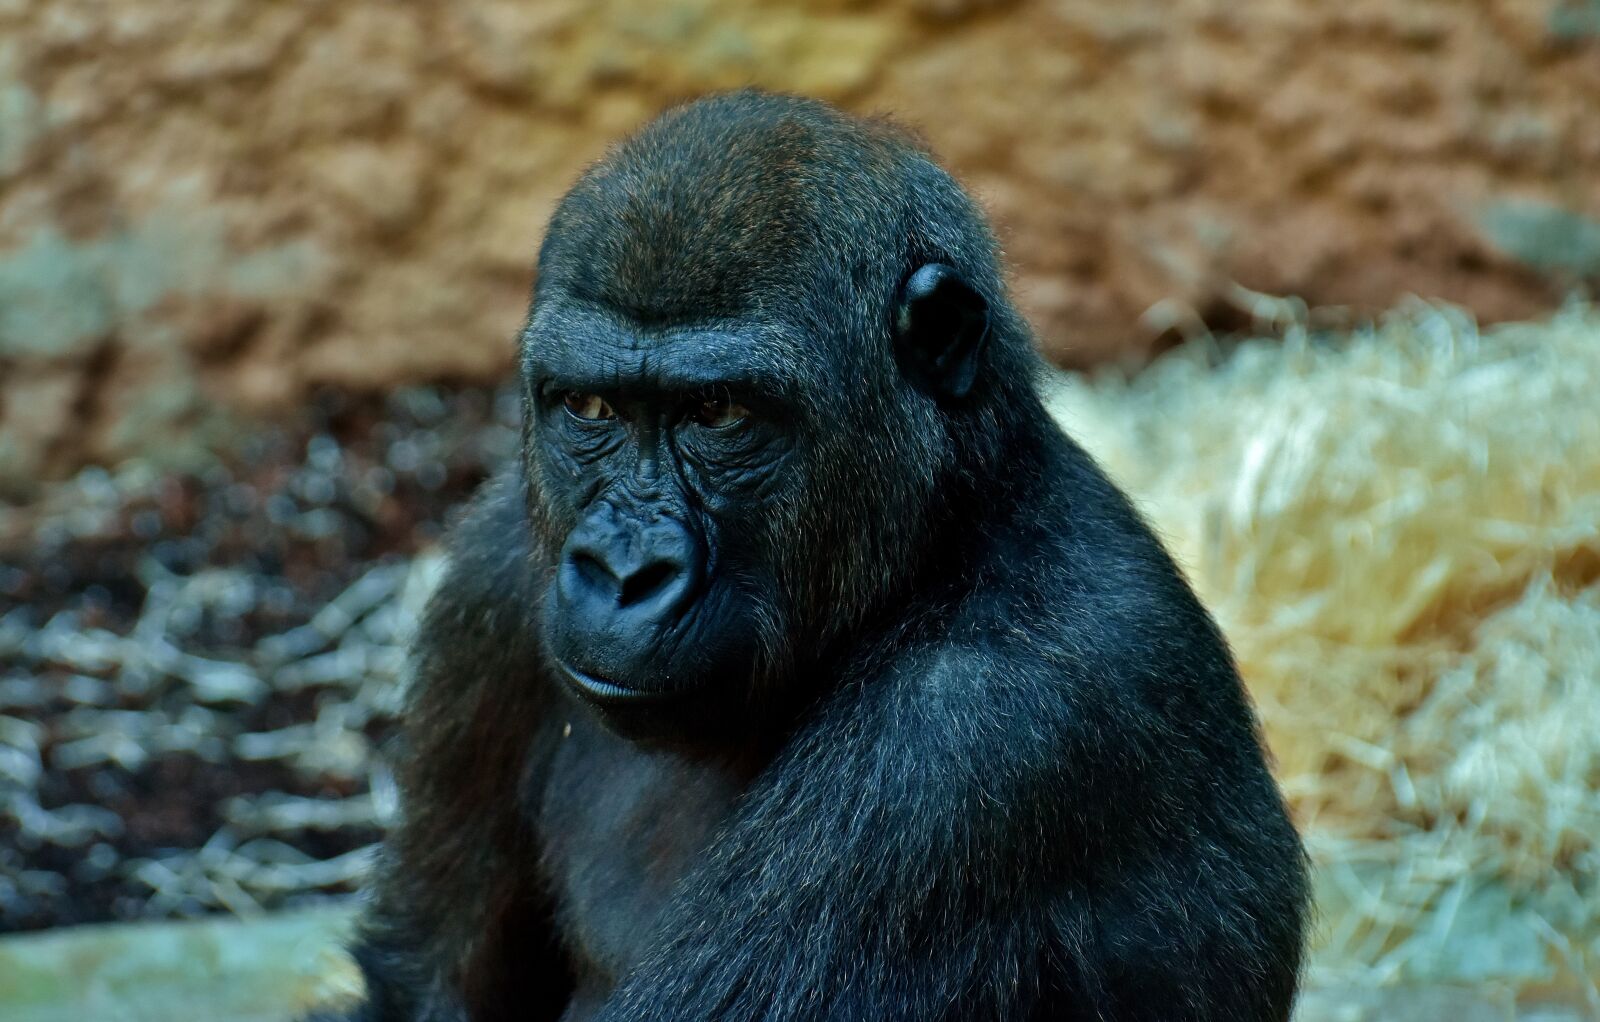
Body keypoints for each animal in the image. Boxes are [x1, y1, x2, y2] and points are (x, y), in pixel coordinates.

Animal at [317, 90, 1309, 1022]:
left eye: (719, 413)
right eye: (590, 408)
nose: (623, 573)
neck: (942, 540)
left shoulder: (980, 737)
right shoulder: (489, 584)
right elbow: (422, 982)